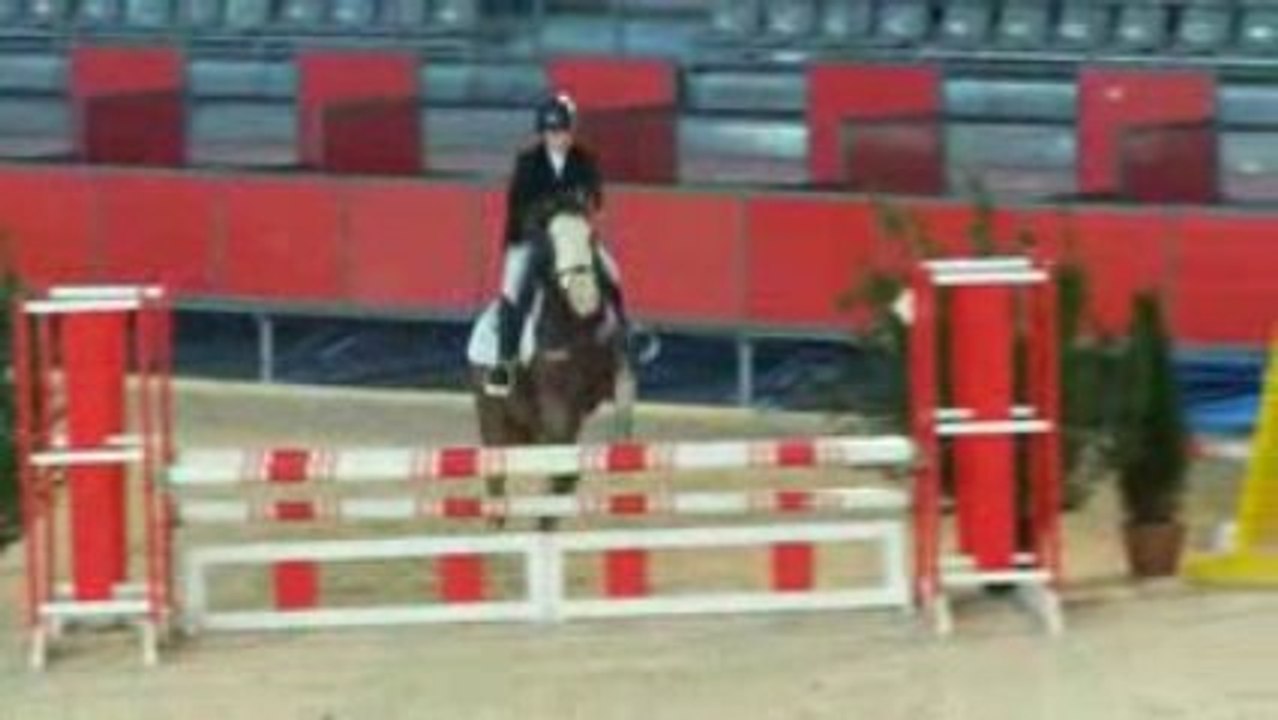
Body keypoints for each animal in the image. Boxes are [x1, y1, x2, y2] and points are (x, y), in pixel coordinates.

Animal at [466, 198, 642, 530]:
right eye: (549, 245)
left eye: (592, 237)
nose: (585, 297)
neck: (576, 326)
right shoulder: (555, 403)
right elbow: (562, 465)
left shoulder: (611, 374)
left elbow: (624, 390)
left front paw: (624, 439)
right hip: (493, 416)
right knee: (497, 474)